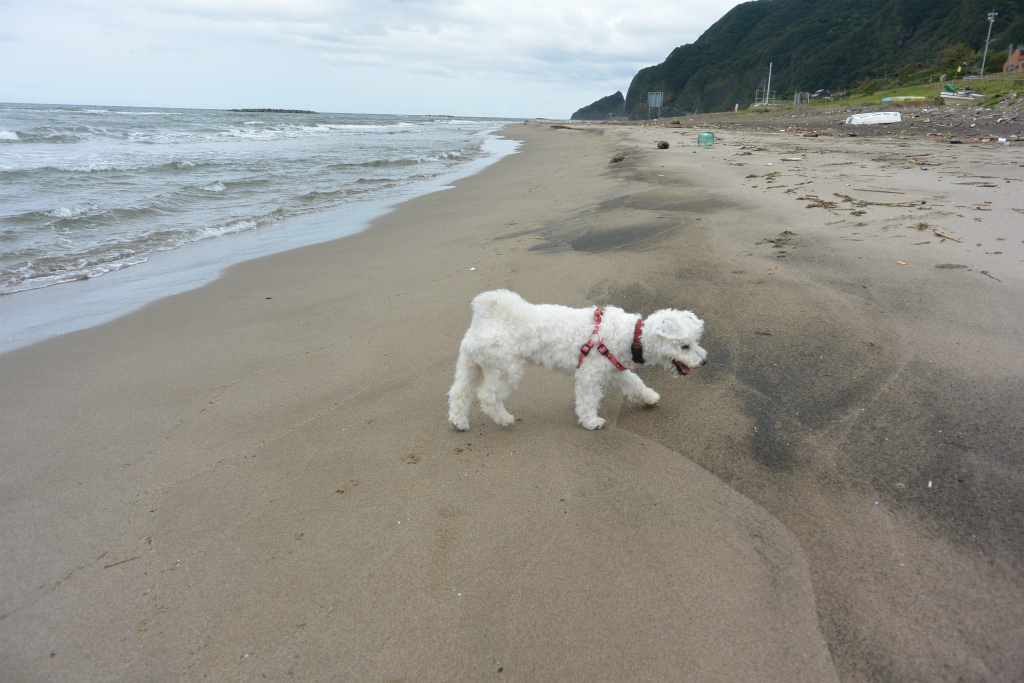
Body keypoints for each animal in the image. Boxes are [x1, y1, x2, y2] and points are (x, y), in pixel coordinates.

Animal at [448, 289, 707, 430]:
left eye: (695, 342)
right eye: (685, 346)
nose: (703, 362)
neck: (632, 335)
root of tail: (484, 318)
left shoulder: (616, 370)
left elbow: (636, 384)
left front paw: (649, 397)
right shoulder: (589, 376)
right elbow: (588, 400)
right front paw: (591, 422)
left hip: (471, 366)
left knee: (460, 393)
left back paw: (459, 422)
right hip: (508, 371)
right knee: (487, 396)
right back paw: (503, 419)